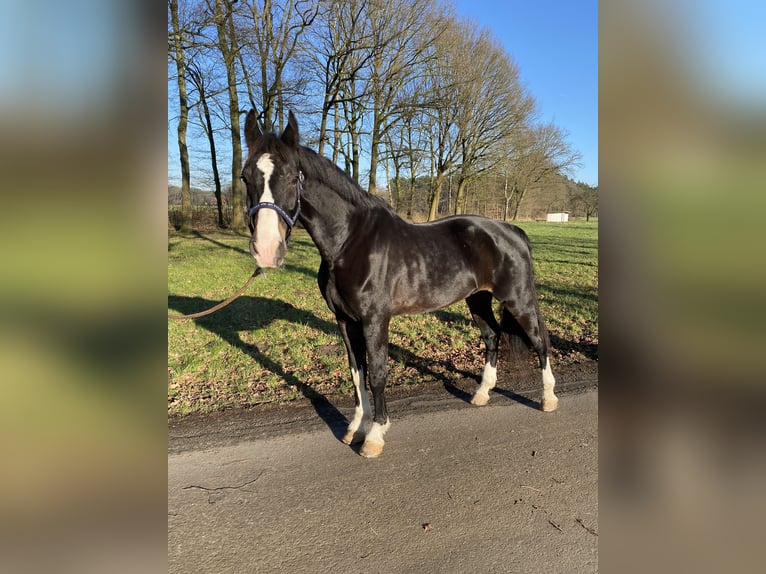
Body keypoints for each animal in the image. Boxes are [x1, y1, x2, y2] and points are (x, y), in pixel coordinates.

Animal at [240, 109, 560, 460]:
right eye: (245, 176)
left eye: (291, 175)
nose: (266, 249)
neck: (349, 242)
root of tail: (512, 230)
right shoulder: (345, 321)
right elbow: (357, 373)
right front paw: (355, 428)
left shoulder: (375, 319)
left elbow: (377, 373)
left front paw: (375, 435)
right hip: (478, 298)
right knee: (492, 336)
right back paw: (481, 393)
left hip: (518, 299)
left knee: (539, 340)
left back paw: (548, 399)